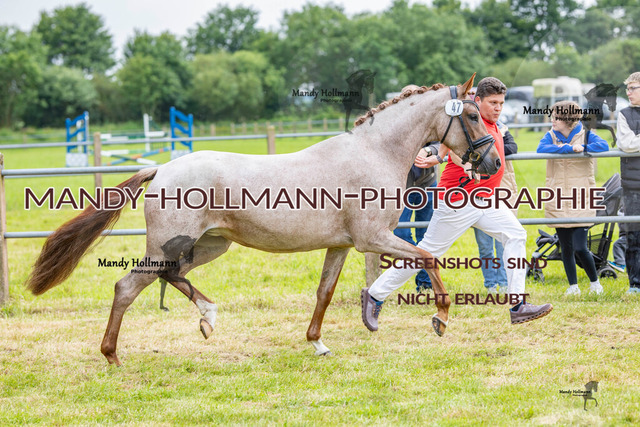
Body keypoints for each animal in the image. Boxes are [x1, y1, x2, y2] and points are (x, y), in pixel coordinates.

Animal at [26, 74, 501, 366]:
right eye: (472, 115)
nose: (493, 161)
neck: (374, 153)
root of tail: (161, 169)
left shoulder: (341, 244)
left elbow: (324, 292)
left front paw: (318, 343)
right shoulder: (374, 238)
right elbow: (427, 258)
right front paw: (440, 319)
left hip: (211, 244)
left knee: (173, 276)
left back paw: (208, 317)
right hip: (170, 244)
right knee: (127, 287)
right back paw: (113, 356)